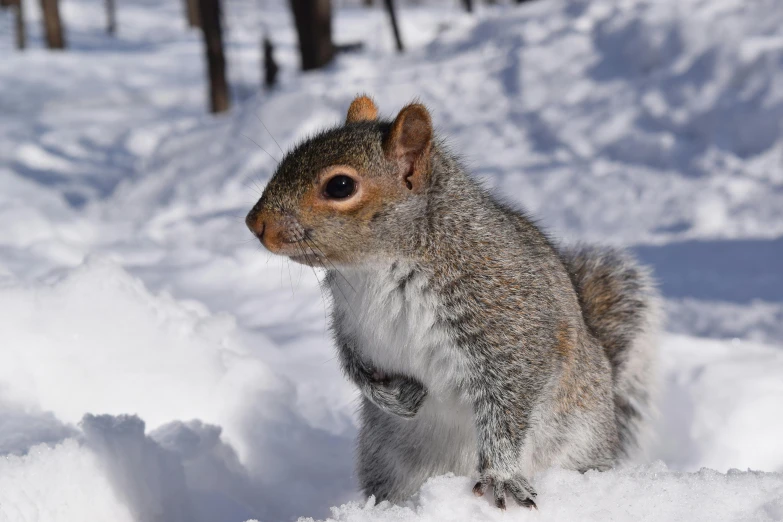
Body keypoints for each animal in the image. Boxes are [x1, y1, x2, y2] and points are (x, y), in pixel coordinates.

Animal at [247, 94, 660, 508]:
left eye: (341, 186)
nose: (254, 223)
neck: (376, 269)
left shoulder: (512, 325)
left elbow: (507, 407)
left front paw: (501, 476)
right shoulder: (350, 323)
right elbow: (354, 365)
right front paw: (396, 397)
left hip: (580, 440)